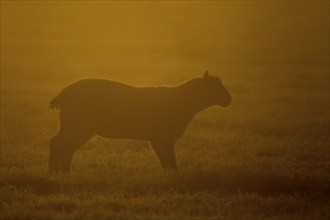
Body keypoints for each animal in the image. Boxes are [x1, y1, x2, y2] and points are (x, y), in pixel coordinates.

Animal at [49, 71, 232, 173]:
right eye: (215, 86)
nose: (229, 99)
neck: (183, 101)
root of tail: (62, 95)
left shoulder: (161, 139)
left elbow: (167, 158)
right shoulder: (162, 137)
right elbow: (168, 158)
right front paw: (174, 174)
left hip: (70, 124)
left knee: (59, 144)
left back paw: (59, 172)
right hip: (79, 125)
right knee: (61, 145)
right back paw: (60, 172)